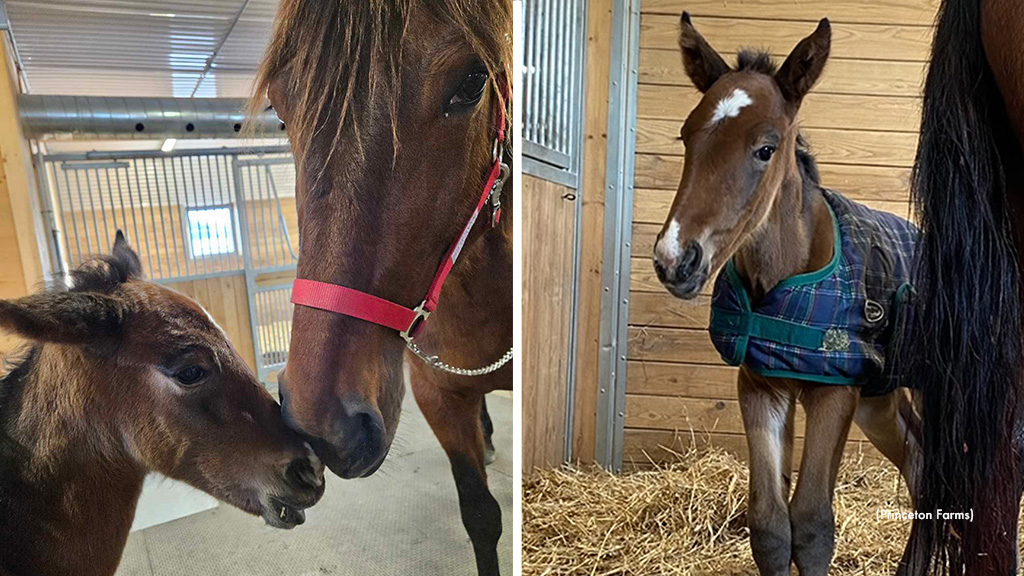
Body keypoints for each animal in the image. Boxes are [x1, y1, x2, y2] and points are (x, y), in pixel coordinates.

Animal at [651, 15, 923, 575]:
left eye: (765, 148)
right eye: (686, 137)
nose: (674, 259)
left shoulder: (835, 390)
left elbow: (814, 525)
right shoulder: (761, 387)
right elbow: (772, 526)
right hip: (880, 401)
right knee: (920, 461)